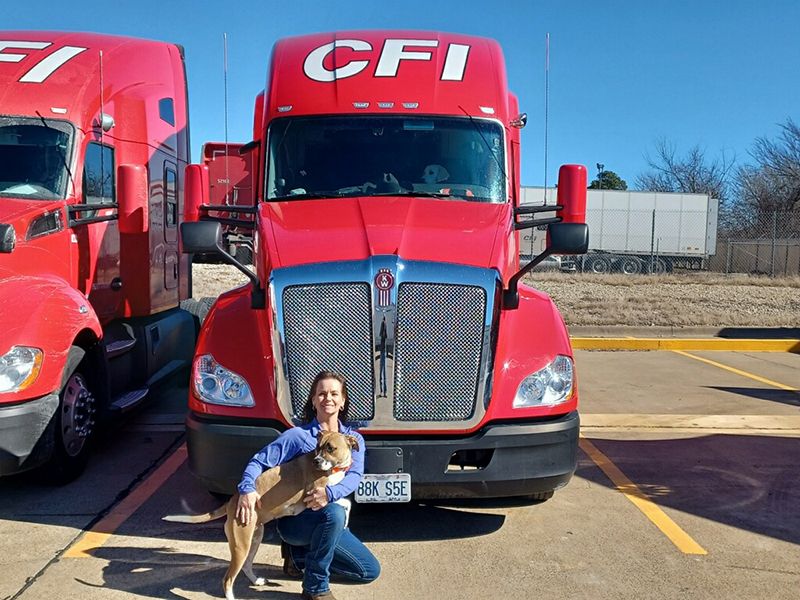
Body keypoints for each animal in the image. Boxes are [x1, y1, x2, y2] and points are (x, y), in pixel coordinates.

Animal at [164, 432, 358, 600]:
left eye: (330, 448)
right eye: (318, 447)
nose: (317, 461)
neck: (334, 469)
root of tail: (233, 501)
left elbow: (345, 501)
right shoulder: (314, 496)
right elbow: (342, 503)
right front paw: (345, 519)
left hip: (255, 538)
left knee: (246, 566)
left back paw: (256, 581)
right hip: (241, 546)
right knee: (228, 579)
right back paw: (232, 596)